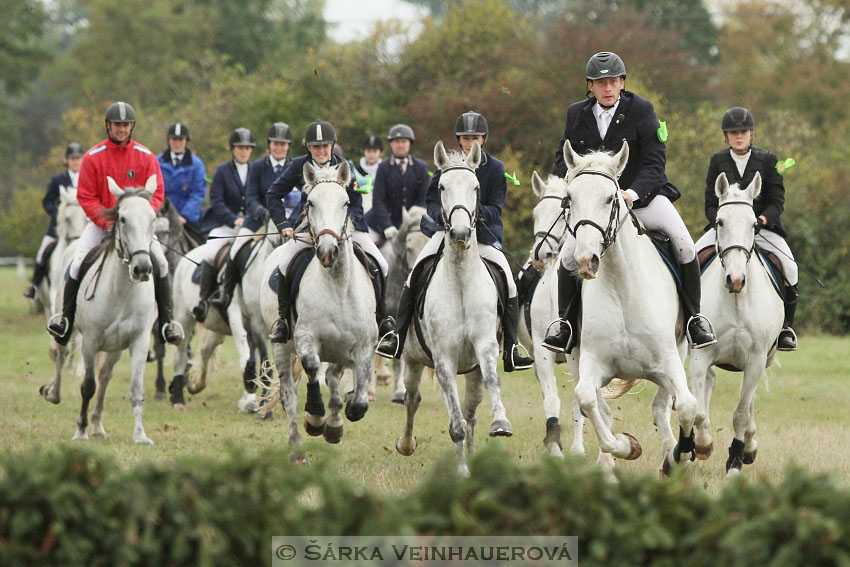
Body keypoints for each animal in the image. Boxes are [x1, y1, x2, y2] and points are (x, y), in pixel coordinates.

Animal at [40, 175, 159, 445]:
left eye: (153, 218)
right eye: (122, 219)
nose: (142, 268)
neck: (122, 291)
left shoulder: (138, 341)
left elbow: (135, 389)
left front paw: (140, 435)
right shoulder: (91, 341)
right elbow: (87, 386)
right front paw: (80, 430)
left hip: (115, 348)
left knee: (105, 377)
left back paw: (97, 424)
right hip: (66, 325)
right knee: (62, 355)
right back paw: (54, 393)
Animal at [260, 160, 376, 449]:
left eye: (346, 202)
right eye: (310, 203)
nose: (327, 252)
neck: (338, 287)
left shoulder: (362, 346)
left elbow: (358, 399)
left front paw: (340, 418)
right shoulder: (306, 337)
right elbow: (312, 367)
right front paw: (314, 417)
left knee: (333, 377)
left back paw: (334, 423)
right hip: (282, 347)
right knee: (289, 394)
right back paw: (298, 446)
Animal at [395, 141, 511, 476]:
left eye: (476, 187)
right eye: (442, 187)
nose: (460, 234)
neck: (460, 281)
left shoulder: (485, 347)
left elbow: (493, 382)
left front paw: (500, 422)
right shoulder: (443, 358)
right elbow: (454, 423)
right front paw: (461, 473)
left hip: (471, 372)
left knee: (470, 411)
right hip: (413, 361)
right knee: (413, 399)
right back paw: (406, 444)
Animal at [559, 140, 697, 476]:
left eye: (610, 199)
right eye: (570, 199)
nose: (585, 261)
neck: (621, 286)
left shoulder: (669, 360)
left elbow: (687, 406)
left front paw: (678, 456)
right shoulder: (592, 362)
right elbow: (588, 401)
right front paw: (627, 446)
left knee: (663, 407)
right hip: (576, 359)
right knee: (600, 407)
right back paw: (608, 465)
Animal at [688, 172, 784, 477]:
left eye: (754, 224)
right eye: (720, 222)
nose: (736, 279)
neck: (736, 300)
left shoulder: (755, 360)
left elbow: (741, 413)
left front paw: (736, 460)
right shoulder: (701, 354)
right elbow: (698, 411)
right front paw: (703, 445)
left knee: (749, 402)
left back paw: (750, 447)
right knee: (708, 384)